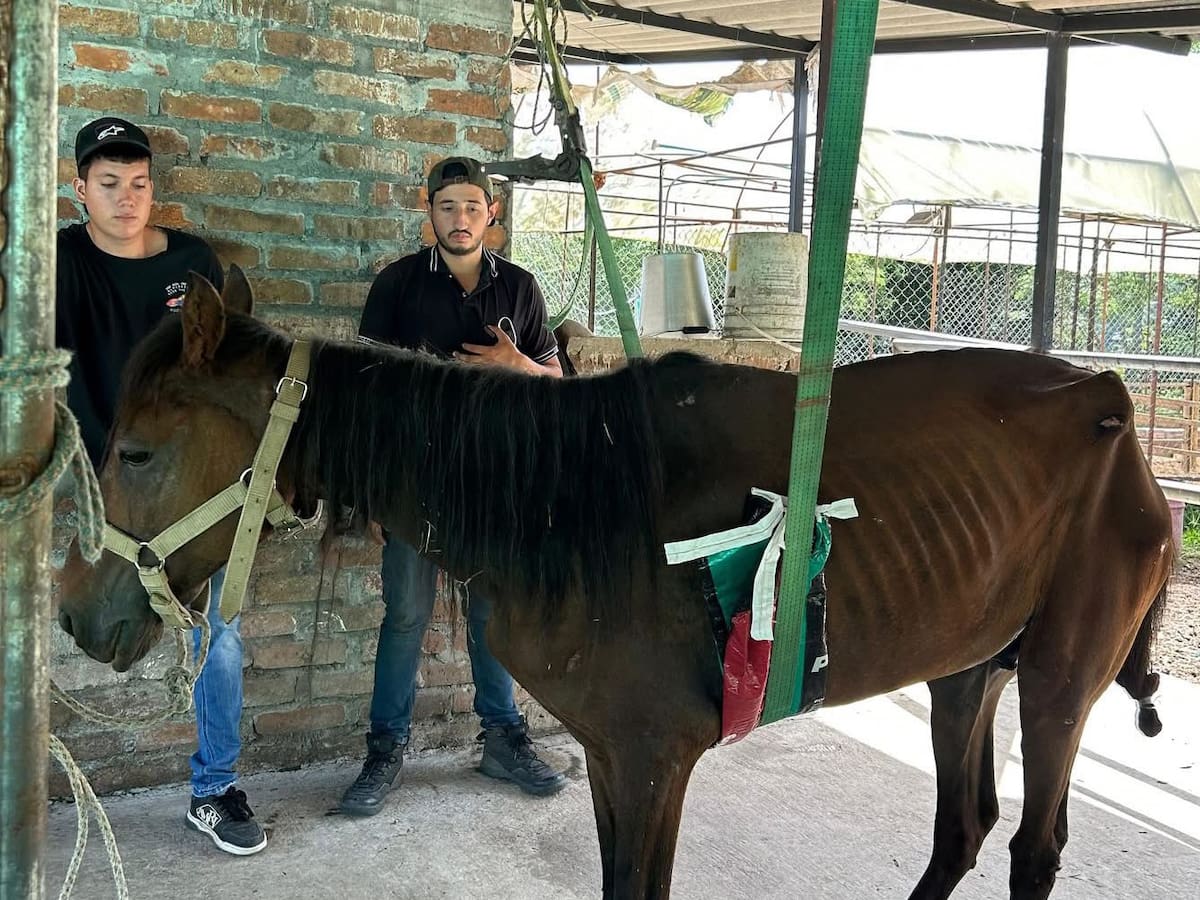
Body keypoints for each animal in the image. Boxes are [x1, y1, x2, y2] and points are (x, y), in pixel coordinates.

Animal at [56, 270, 1172, 900]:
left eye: (139, 452)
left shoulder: (649, 760)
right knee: (964, 828)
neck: (571, 499)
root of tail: (1108, 397)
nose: (75, 612)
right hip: (969, 667)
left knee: (1034, 845)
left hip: (1059, 680)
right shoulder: (610, 756)